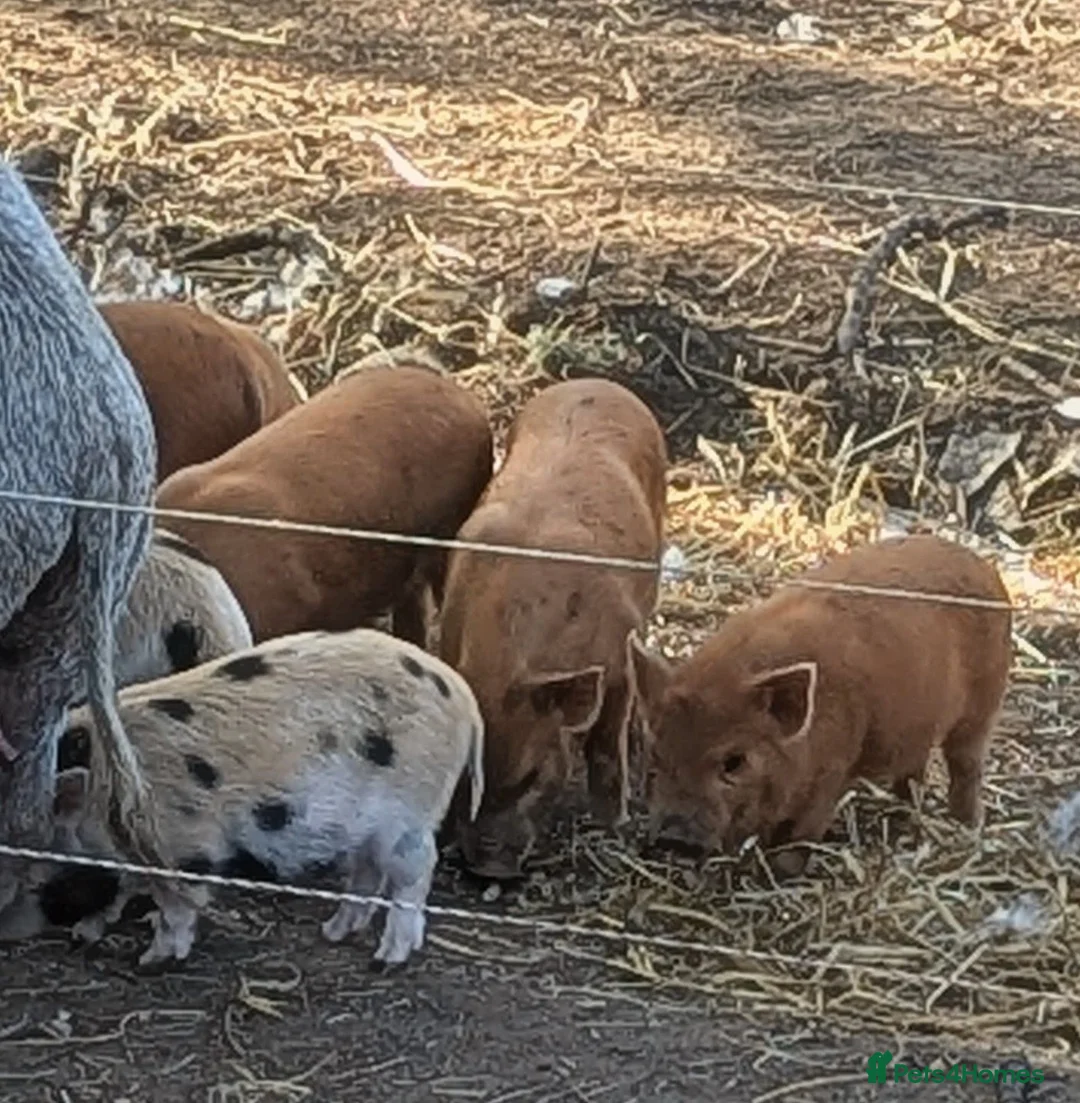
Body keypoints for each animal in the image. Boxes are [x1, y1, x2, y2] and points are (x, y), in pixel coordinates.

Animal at [38, 628, 484, 967]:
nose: (64, 929)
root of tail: (463, 697)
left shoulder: (184, 847)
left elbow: (174, 907)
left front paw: (151, 960)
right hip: (366, 828)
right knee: (367, 872)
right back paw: (333, 932)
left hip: (410, 815)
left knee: (415, 873)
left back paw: (387, 959)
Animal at [438, 378, 668, 879]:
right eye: (467, 782)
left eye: (531, 777)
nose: (489, 870)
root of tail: (598, 383)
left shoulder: (618, 651)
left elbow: (605, 741)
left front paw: (613, 820)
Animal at [629, 534, 1013, 869]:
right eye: (657, 754)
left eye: (734, 762)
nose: (674, 839)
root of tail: (985, 567)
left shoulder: (833, 770)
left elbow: (802, 834)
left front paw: (777, 871)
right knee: (914, 768)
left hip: (983, 706)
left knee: (966, 765)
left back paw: (966, 825)